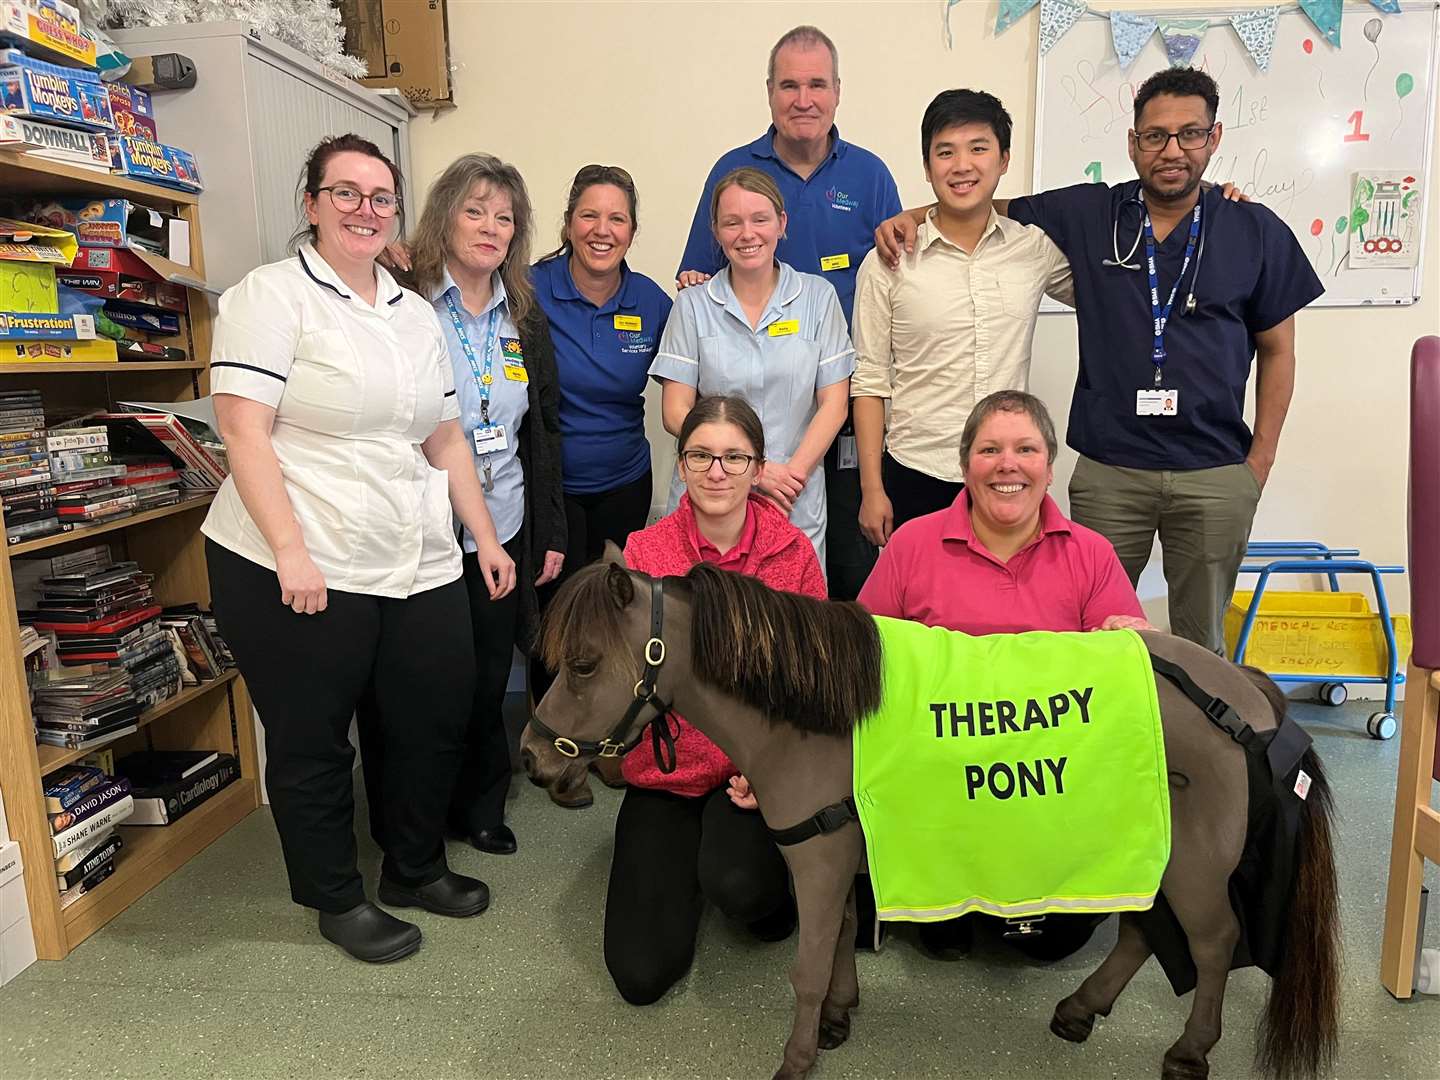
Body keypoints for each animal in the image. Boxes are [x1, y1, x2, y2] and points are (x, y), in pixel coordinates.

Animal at [521, 552, 1336, 1080]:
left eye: (585, 663)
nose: (531, 757)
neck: (817, 719)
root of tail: (1246, 690)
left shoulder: (819, 864)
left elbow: (807, 967)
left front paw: (797, 1057)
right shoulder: (845, 859)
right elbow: (844, 938)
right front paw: (839, 1017)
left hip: (1193, 864)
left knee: (1212, 944)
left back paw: (1190, 1051)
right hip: (1143, 843)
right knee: (1141, 930)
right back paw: (1081, 1008)